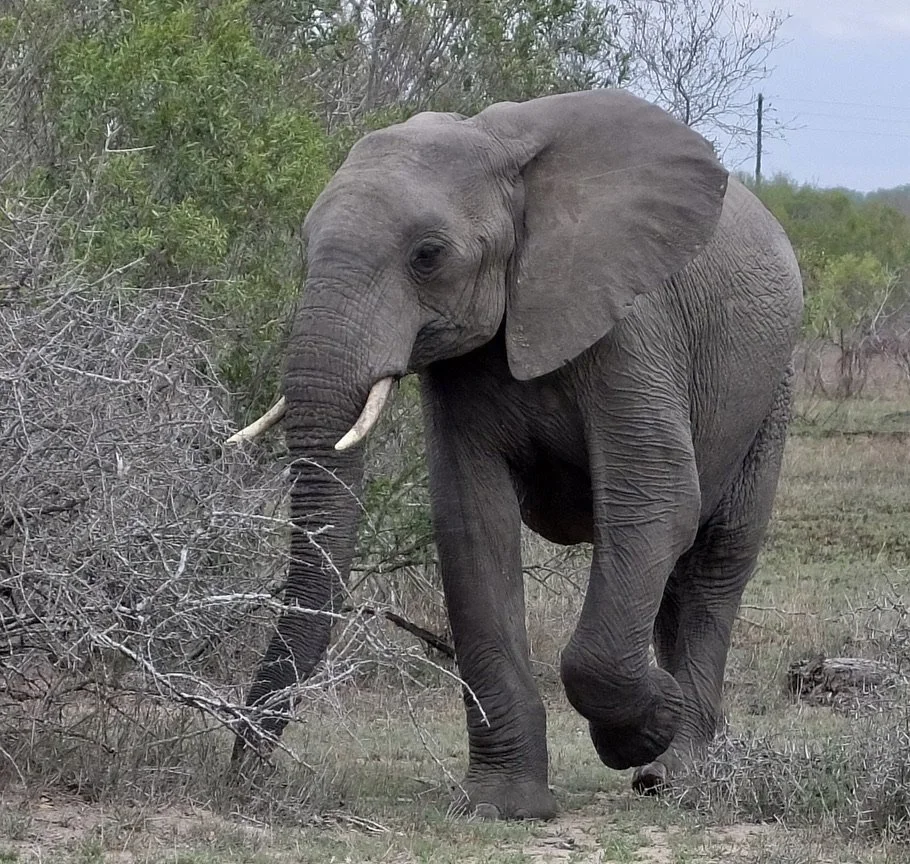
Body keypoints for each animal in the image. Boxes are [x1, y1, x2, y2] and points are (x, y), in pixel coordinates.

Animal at [229, 89, 803, 821]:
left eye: (428, 255)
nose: (247, 774)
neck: (499, 151)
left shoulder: (632, 326)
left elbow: (654, 499)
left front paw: (643, 731)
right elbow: (473, 522)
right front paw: (504, 808)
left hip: (773, 386)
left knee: (717, 558)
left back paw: (672, 774)